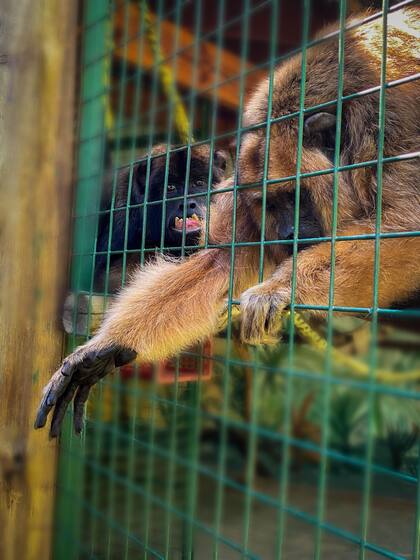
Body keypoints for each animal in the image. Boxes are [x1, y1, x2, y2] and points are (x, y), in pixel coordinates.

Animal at [36, 6, 420, 440]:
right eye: (268, 204)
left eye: (295, 196)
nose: (287, 233)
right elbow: (221, 263)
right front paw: (107, 348)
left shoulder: (387, 130)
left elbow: (405, 227)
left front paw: (279, 288)